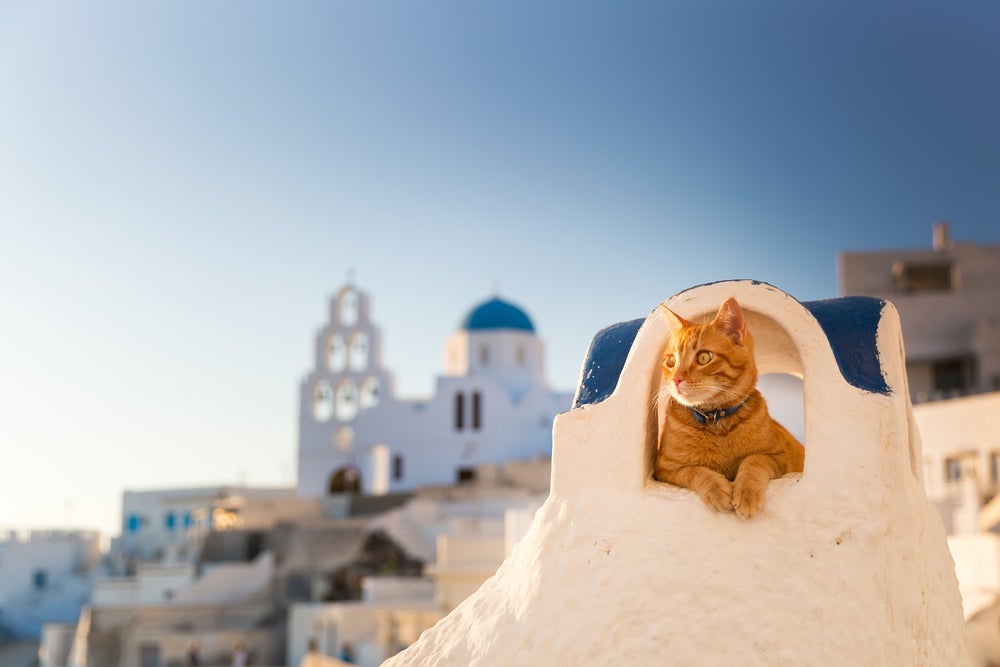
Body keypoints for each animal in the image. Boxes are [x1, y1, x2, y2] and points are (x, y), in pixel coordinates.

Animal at [656, 298, 804, 520]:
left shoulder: (780, 457)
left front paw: (747, 493)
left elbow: (753, 461)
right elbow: (696, 471)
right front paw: (717, 490)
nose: (676, 379)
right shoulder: (665, 469)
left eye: (703, 357)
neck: (716, 417)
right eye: (670, 361)